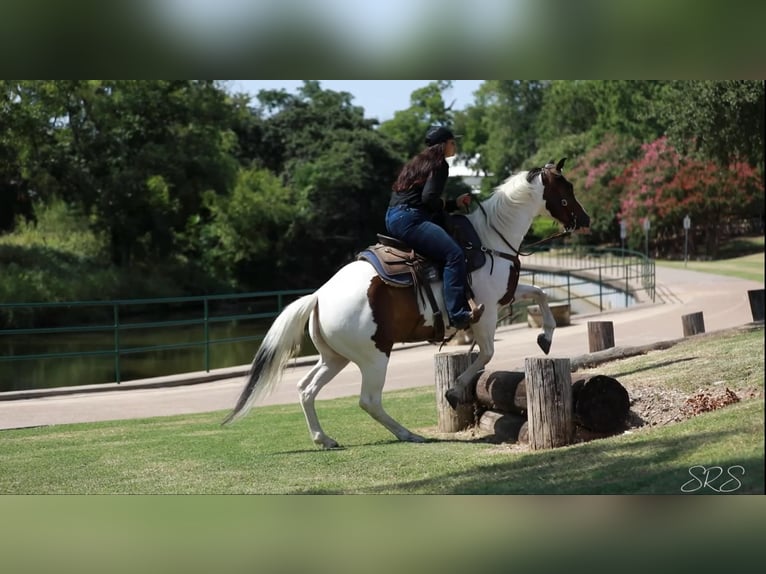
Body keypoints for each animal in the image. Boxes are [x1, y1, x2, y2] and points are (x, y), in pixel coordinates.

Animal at [222, 159, 590, 448]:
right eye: (566, 187)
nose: (585, 220)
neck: (490, 241)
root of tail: (318, 297)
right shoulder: (484, 313)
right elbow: (486, 353)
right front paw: (454, 392)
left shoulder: (505, 297)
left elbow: (540, 295)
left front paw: (545, 337)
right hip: (374, 357)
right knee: (368, 400)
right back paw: (407, 434)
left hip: (335, 358)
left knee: (305, 389)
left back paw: (324, 438)